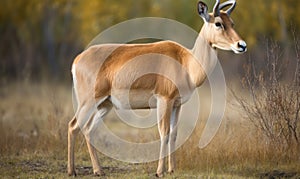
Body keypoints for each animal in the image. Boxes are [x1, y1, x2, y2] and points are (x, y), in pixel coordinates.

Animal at [68, 0, 246, 176]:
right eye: (218, 23)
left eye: (232, 23)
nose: (241, 45)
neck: (186, 63)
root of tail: (77, 59)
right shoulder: (164, 100)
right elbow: (164, 132)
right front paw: (160, 171)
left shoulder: (177, 104)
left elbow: (173, 133)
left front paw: (172, 169)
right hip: (89, 102)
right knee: (73, 126)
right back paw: (72, 171)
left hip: (105, 104)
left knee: (88, 129)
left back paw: (98, 170)